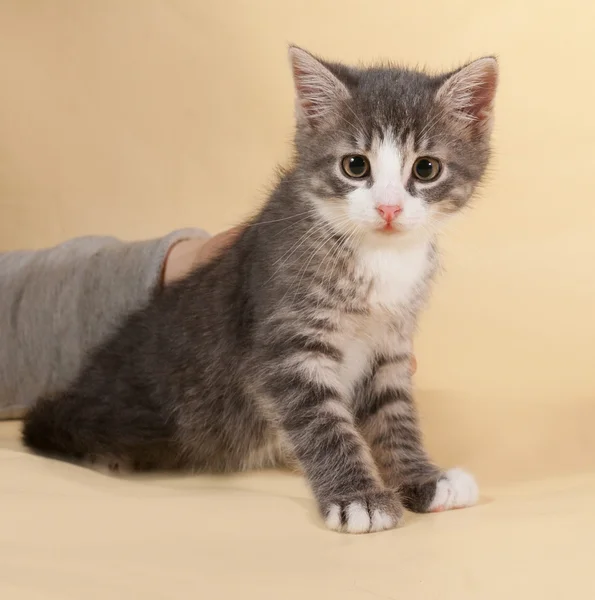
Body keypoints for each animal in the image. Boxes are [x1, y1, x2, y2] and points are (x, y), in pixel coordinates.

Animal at [22, 48, 498, 536]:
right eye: (355, 166)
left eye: (426, 169)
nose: (388, 208)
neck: (379, 256)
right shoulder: (285, 344)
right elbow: (323, 424)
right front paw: (357, 497)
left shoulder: (391, 347)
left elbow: (395, 416)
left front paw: (424, 479)